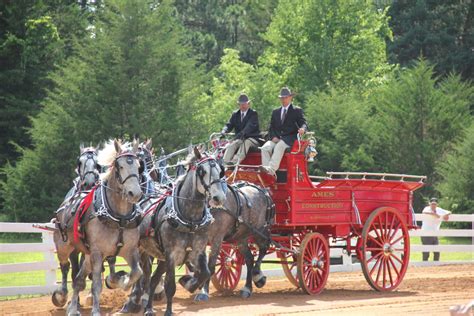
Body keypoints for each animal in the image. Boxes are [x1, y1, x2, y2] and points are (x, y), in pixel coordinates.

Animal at [65, 141, 143, 316]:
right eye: (120, 166)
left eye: (138, 166)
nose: (135, 193)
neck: (119, 218)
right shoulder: (97, 253)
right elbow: (96, 285)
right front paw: (95, 310)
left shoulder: (130, 250)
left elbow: (137, 272)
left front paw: (122, 282)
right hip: (78, 251)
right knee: (74, 275)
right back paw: (71, 306)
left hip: (88, 257)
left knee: (79, 279)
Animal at [121, 148, 227, 316]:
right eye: (202, 171)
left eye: (220, 170)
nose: (218, 197)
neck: (189, 219)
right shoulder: (171, 254)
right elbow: (170, 285)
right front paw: (169, 311)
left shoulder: (198, 250)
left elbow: (205, 273)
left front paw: (189, 283)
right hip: (143, 251)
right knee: (144, 276)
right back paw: (137, 302)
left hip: (161, 257)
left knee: (153, 279)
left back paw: (148, 307)